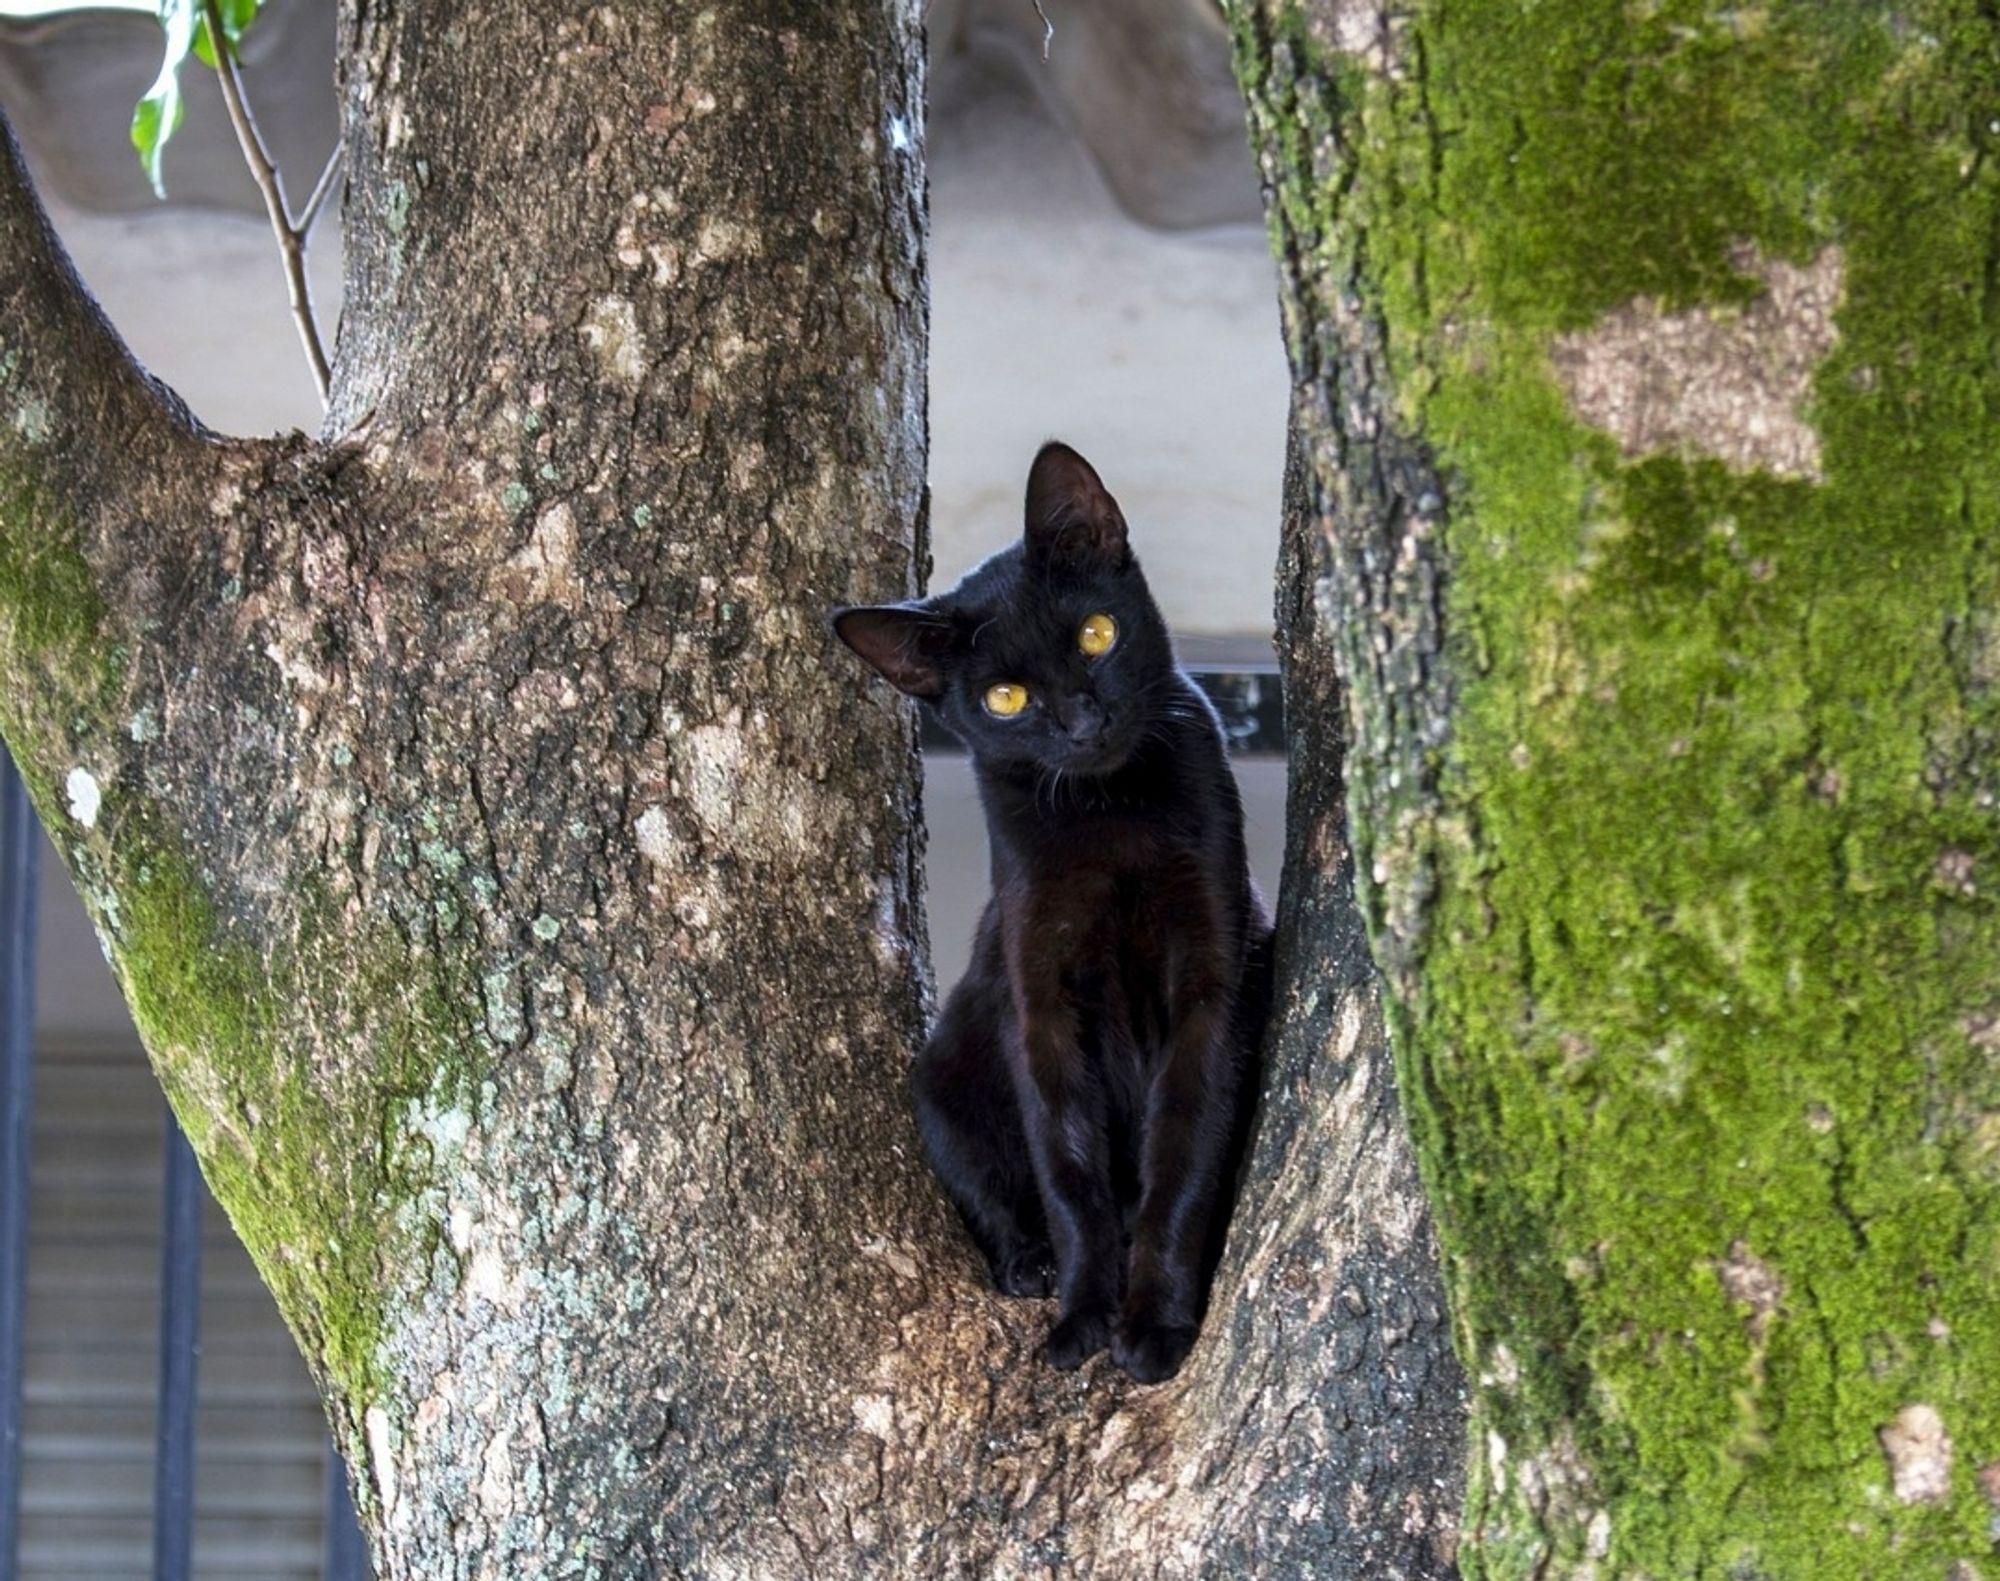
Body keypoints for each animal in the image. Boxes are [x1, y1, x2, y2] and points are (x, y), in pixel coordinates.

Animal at [832, 446, 1272, 1384]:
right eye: (1004, 697)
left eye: (1096, 634)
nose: (1081, 719)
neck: (1111, 820)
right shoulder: (1040, 995)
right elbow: (1069, 1172)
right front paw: (1081, 1314)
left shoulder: (1213, 978)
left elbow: (1181, 1161)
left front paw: (1155, 1324)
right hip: (945, 1080)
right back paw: (1027, 1262)